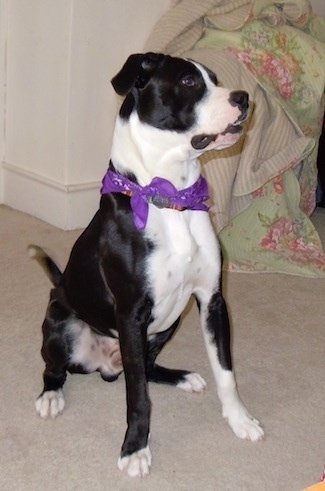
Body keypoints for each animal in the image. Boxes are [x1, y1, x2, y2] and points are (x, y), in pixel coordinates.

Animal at [29, 52, 264, 476]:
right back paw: (51, 396)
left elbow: (226, 372)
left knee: (148, 367)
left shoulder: (211, 300)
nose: (243, 98)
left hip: (168, 324)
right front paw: (135, 448)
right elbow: (137, 396)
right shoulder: (131, 315)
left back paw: (182, 377)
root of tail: (105, 365)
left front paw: (240, 420)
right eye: (188, 82)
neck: (169, 196)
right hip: (61, 323)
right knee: (55, 368)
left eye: (215, 79)